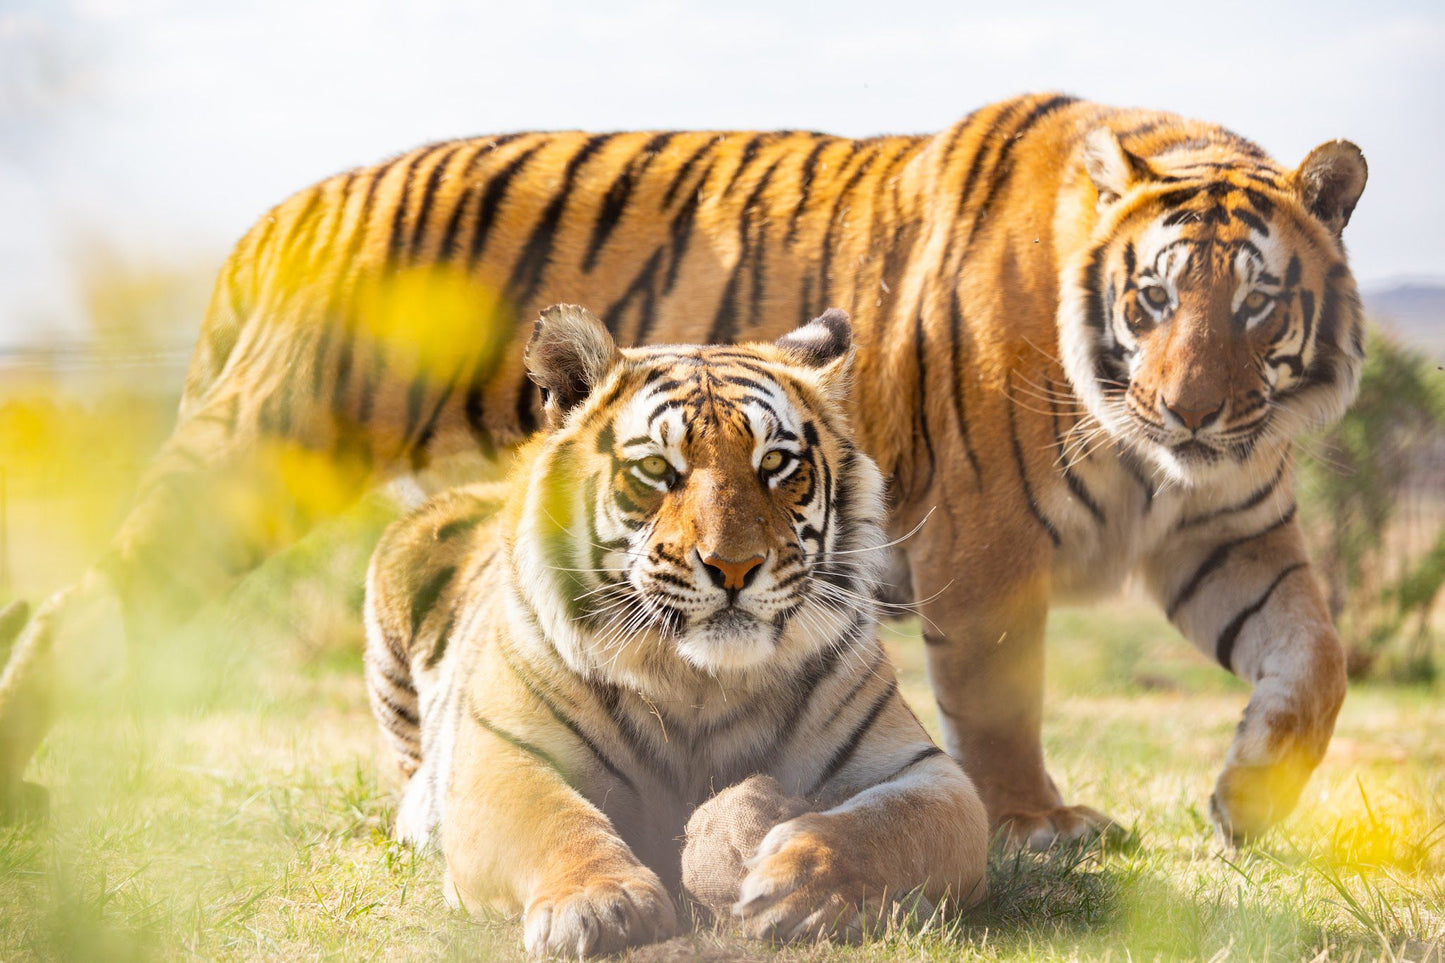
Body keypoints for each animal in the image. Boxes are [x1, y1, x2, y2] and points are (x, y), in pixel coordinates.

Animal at [367, 307, 988, 954]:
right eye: (657, 468)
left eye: (773, 463)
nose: (735, 566)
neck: (699, 682)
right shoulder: (503, 760)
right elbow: (558, 824)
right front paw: (599, 904)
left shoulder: (926, 772)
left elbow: (883, 828)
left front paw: (803, 886)